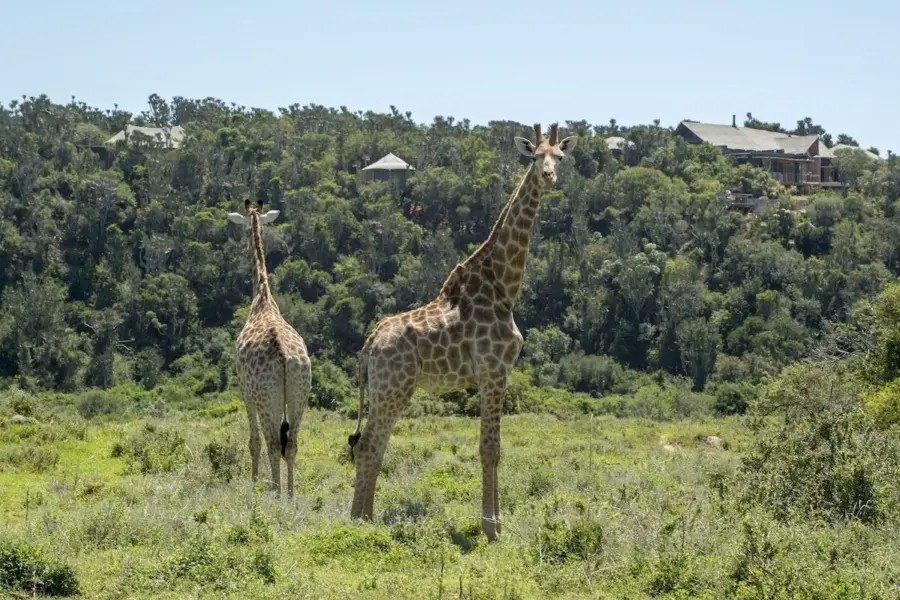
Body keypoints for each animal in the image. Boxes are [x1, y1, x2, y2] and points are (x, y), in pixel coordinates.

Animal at [227, 199, 311, 498]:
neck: (262, 298)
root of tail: (285, 358)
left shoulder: (245, 391)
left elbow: (253, 441)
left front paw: (253, 484)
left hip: (266, 398)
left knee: (274, 443)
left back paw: (274, 494)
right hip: (300, 393)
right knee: (293, 444)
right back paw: (290, 495)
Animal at [347, 123, 577, 540]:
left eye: (560, 156)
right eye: (535, 157)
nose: (549, 176)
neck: (503, 286)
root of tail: (368, 345)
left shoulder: (498, 374)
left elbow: (496, 449)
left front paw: (497, 522)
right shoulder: (492, 371)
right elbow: (490, 449)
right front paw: (491, 528)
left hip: (384, 391)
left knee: (370, 445)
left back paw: (365, 518)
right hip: (393, 390)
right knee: (369, 445)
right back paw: (360, 524)